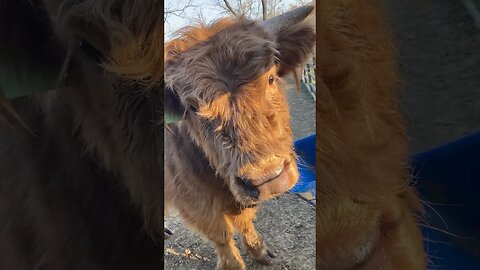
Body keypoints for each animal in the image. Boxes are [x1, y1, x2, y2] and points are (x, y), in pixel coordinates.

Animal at [163, 4, 316, 270]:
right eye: (192, 107)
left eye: (270, 78)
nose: (268, 178)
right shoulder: (193, 199)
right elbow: (221, 234)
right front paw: (233, 263)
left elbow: (245, 221)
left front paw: (260, 251)